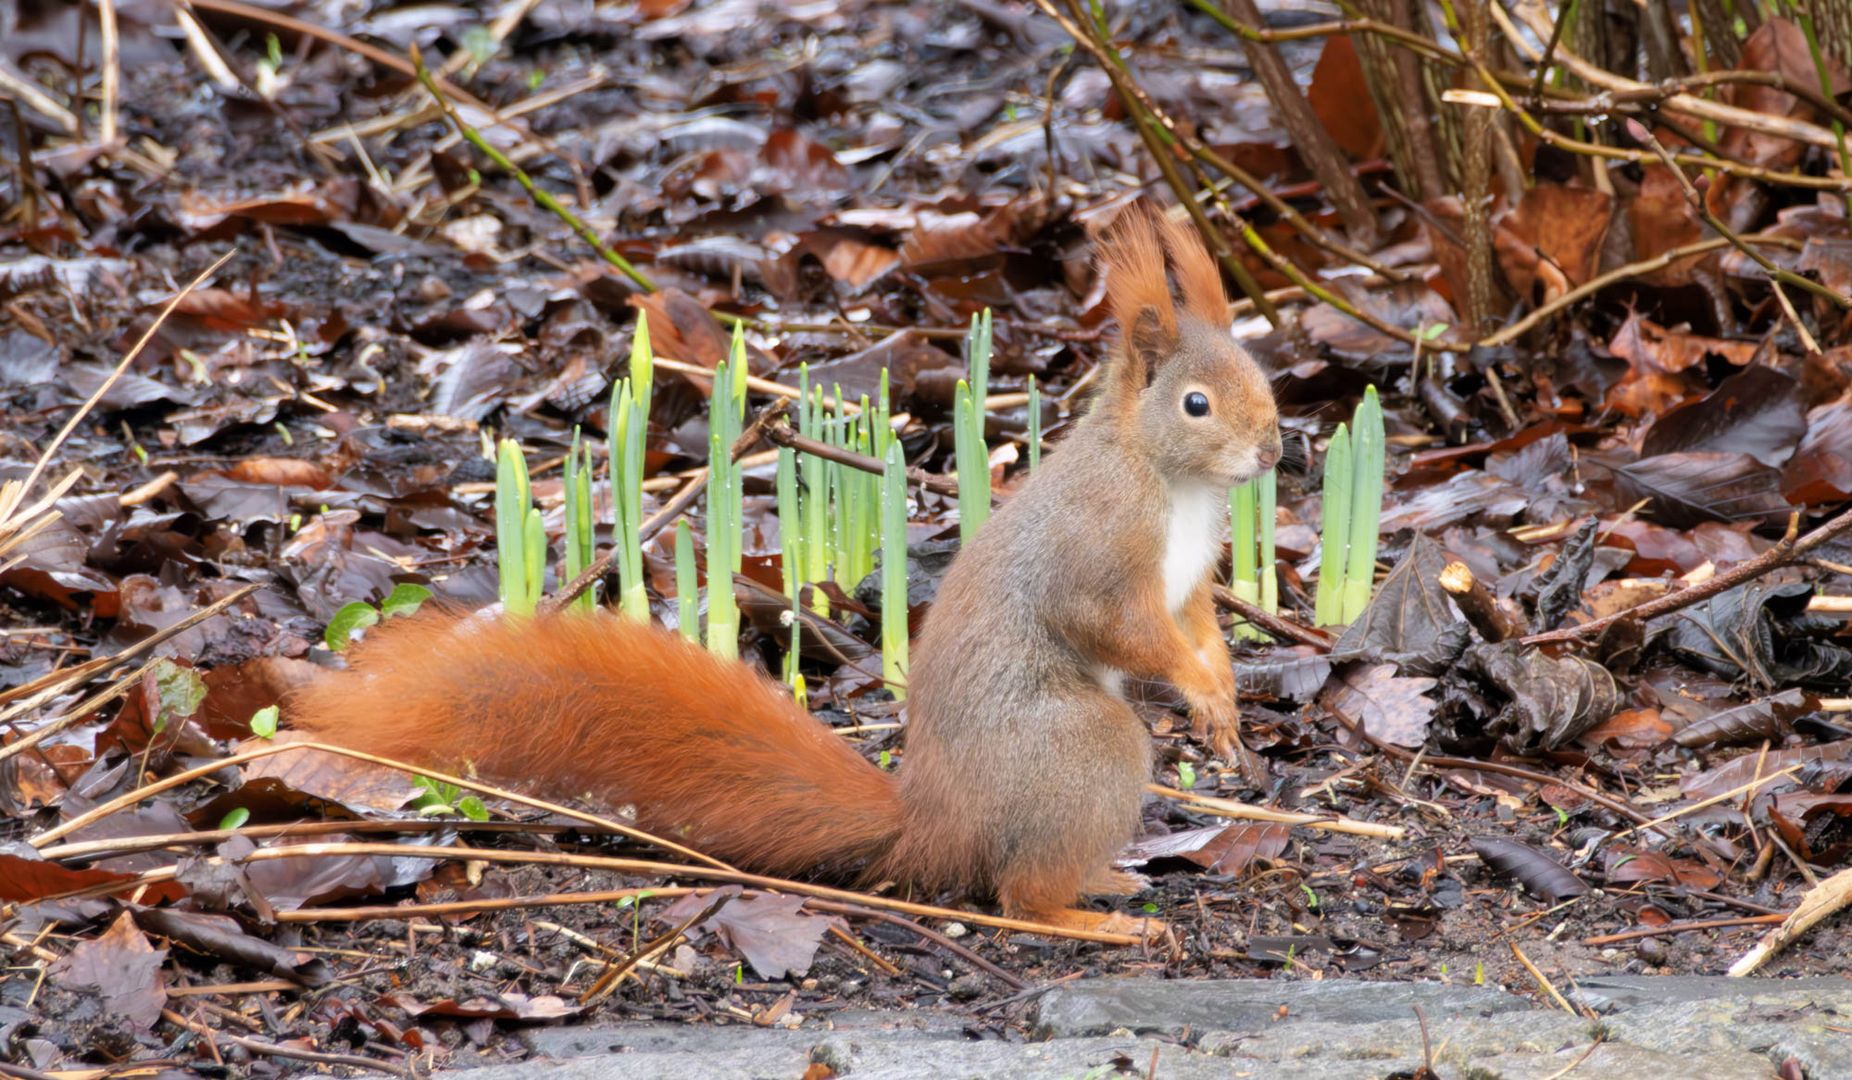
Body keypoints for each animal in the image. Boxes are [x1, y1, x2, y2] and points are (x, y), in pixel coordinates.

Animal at [288, 207, 1281, 933]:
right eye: (1196, 404)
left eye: (1259, 372)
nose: (1275, 449)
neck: (1174, 483)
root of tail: (935, 821)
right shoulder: (1098, 549)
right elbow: (1116, 626)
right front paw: (1199, 689)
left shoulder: (1191, 578)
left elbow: (1196, 626)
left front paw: (1224, 695)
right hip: (1078, 751)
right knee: (1020, 894)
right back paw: (1097, 917)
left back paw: (1109, 884)